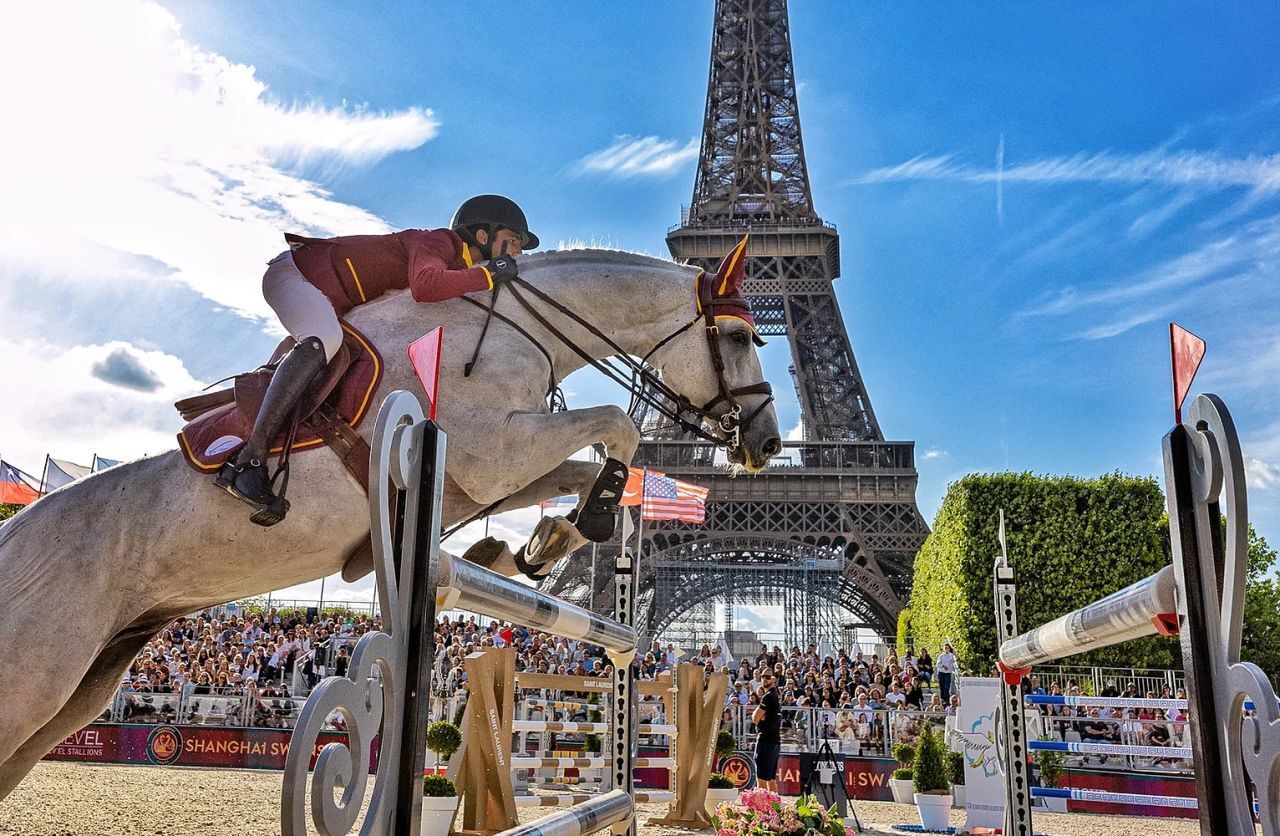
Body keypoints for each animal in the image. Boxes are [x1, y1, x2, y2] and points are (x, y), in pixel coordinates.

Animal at [0, 245, 778, 793]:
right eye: (740, 339)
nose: (767, 445)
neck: (519, 329)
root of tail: (16, 531)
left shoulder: (486, 471)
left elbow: (573, 473)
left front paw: (539, 543)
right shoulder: (494, 449)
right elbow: (619, 423)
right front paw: (579, 525)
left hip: (86, 685)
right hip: (37, 676)